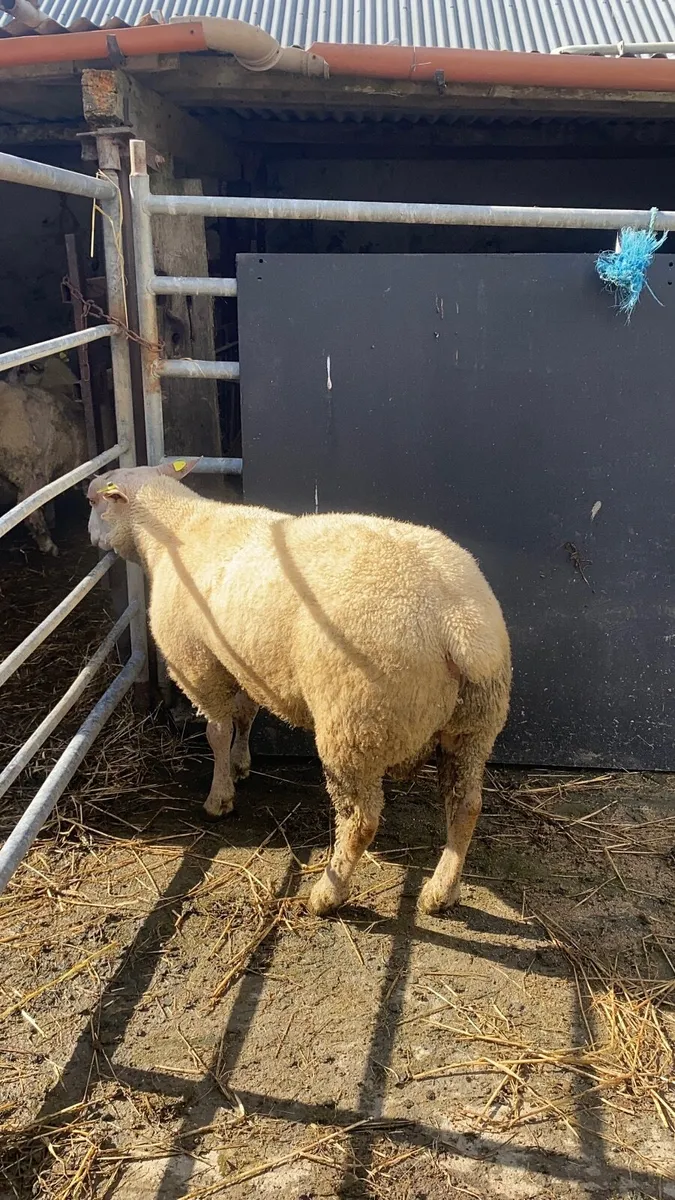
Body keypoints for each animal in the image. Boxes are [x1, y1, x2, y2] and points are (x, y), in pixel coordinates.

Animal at [87, 460, 511, 916]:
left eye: (93, 501)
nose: (91, 539)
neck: (176, 528)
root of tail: (459, 622)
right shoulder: (244, 661)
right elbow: (246, 715)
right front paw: (241, 763)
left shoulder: (198, 665)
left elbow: (217, 732)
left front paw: (220, 797)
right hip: (474, 723)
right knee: (465, 806)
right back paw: (440, 892)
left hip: (356, 725)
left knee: (361, 821)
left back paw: (327, 894)